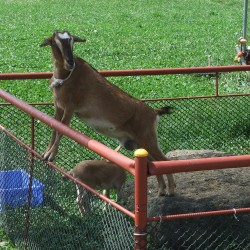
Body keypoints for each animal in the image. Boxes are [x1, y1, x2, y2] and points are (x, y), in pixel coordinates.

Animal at [40, 30, 175, 196]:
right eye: (55, 42)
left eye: (72, 41)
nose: (70, 62)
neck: (66, 77)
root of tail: (154, 113)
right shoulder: (58, 107)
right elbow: (54, 128)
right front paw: (46, 153)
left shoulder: (70, 107)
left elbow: (61, 130)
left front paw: (51, 155)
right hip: (137, 144)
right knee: (153, 163)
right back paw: (161, 190)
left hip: (148, 139)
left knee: (165, 161)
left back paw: (170, 190)